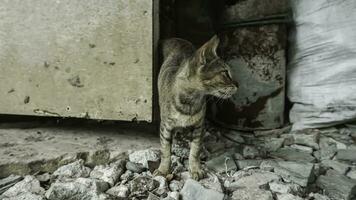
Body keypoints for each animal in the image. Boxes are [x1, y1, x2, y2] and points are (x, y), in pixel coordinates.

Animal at [155, 35, 236, 180]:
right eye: (225, 72)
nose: (237, 85)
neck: (191, 100)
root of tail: (173, 37)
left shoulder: (199, 127)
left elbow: (195, 150)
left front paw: (195, 168)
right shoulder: (165, 126)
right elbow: (165, 150)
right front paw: (163, 170)